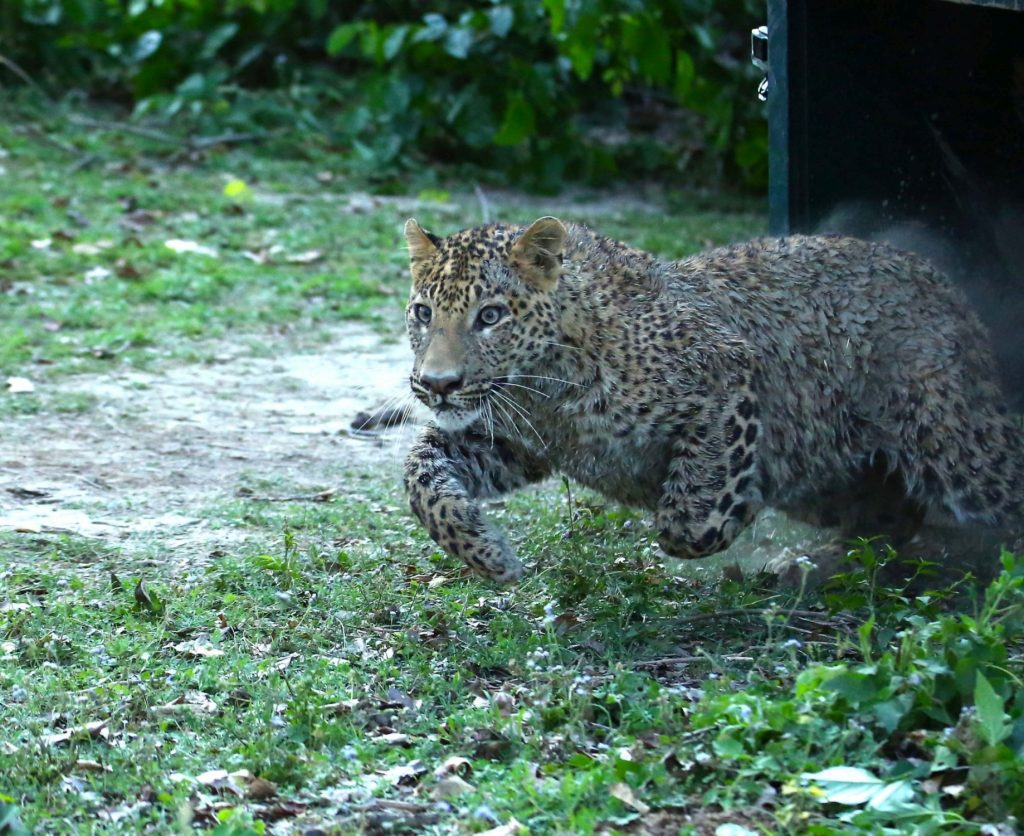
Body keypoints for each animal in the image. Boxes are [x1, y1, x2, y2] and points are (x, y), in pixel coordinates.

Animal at [401, 216, 1024, 584]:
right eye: (423, 313)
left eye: (490, 316)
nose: (437, 384)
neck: (545, 389)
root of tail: (943, 284)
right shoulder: (512, 440)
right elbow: (420, 478)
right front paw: (488, 552)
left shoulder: (727, 373)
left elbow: (689, 518)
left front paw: (730, 507)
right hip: (830, 477)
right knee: (888, 514)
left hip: (955, 441)